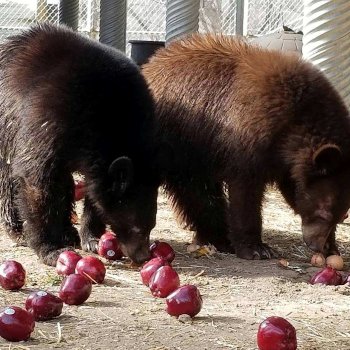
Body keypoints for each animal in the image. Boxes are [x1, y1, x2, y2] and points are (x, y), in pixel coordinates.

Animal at [0, 23, 160, 266]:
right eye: (136, 227)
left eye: (151, 226)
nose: (142, 257)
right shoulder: (49, 118)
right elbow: (36, 177)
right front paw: (50, 248)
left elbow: (95, 191)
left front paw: (90, 238)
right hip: (6, 126)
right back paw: (16, 228)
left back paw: (68, 231)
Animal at [142, 34, 350, 260]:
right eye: (323, 212)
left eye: (342, 214)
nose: (317, 245)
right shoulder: (249, 135)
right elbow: (245, 190)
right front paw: (257, 248)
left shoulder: (286, 161)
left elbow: (292, 187)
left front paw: (332, 246)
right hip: (179, 143)